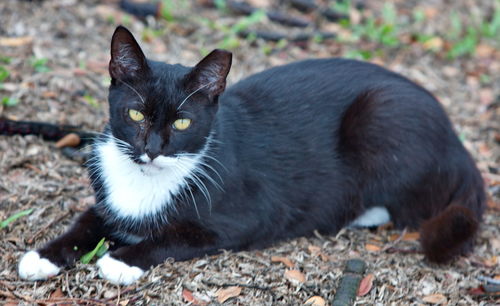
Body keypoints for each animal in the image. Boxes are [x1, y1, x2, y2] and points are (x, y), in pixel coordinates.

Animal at [18, 25, 484, 284]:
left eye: (183, 123)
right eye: (134, 113)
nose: (151, 150)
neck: (147, 182)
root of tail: (457, 140)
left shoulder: (242, 220)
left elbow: (172, 238)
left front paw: (121, 262)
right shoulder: (109, 202)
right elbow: (85, 222)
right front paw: (41, 257)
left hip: (381, 117)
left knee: (410, 207)